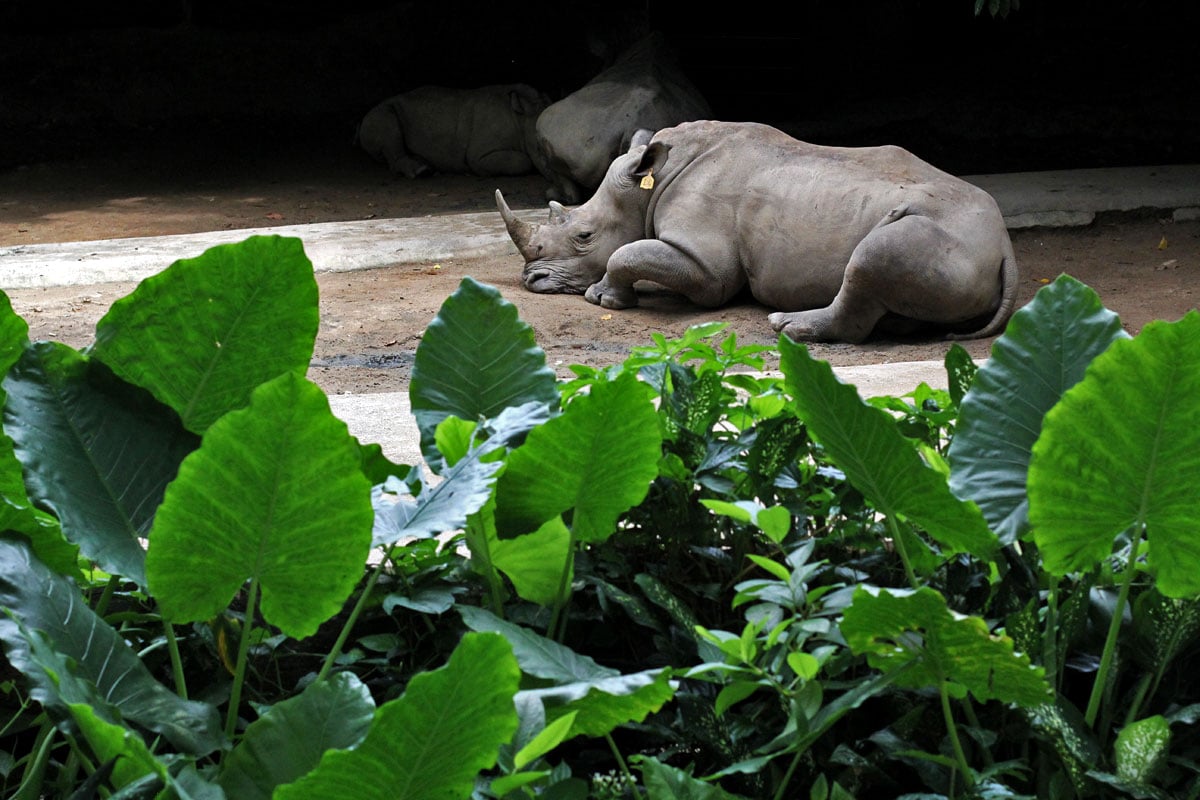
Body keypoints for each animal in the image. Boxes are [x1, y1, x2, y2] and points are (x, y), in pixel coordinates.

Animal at [352, 83, 547, 178]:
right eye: (540, 150)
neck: (521, 119)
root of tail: (361, 120)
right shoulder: (479, 155)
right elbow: (523, 162)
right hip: (379, 113)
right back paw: (421, 172)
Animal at [496, 119, 1022, 345]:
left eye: (583, 236)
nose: (531, 281)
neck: (649, 184)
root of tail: (1004, 247)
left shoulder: (707, 267)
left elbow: (628, 253)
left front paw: (602, 298)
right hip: (959, 244)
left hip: (945, 237)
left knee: (875, 254)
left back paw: (788, 327)